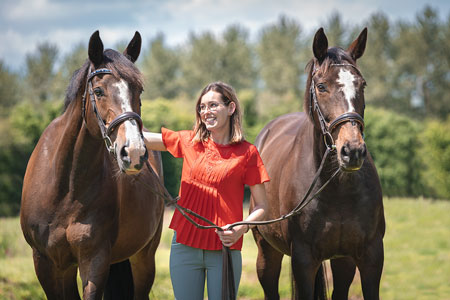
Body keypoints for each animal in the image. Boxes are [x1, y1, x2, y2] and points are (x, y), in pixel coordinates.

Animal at [21, 31, 164, 300]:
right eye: (98, 91)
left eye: (139, 90)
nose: (134, 152)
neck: (65, 187)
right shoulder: (46, 263)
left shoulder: (94, 259)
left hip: (143, 257)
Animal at [251, 27, 384, 298]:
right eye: (321, 86)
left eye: (362, 84)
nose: (352, 151)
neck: (338, 189)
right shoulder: (303, 260)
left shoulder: (371, 257)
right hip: (266, 251)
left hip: (343, 260)